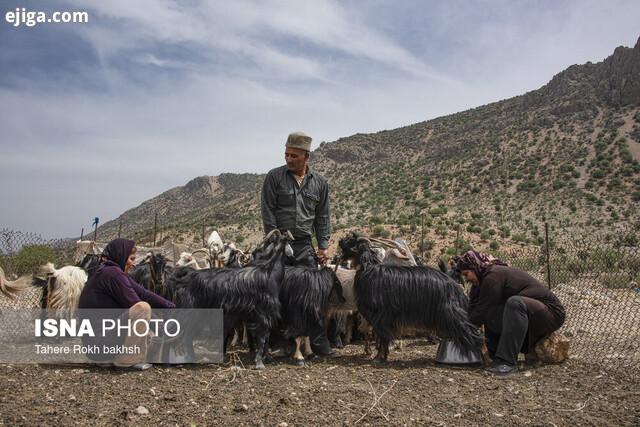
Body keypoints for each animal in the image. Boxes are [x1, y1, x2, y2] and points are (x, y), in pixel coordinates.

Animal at [340, 234, 480, 364]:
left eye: (352, 241)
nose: (340, 241)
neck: (369, 268)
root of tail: (455, 286)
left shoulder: (380, 315)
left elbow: (382, 336)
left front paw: (379, 357)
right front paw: (382, 355)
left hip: (450, 313)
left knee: (469, 330)